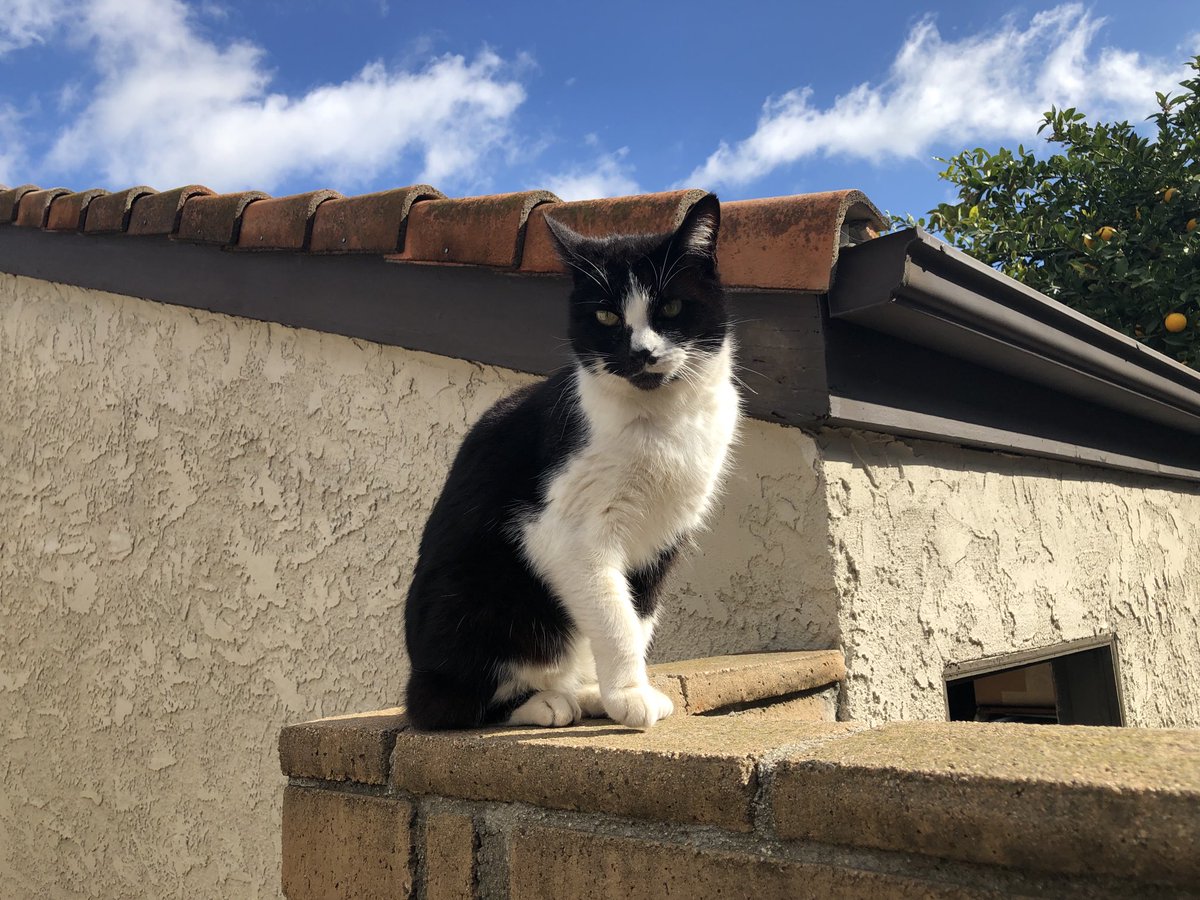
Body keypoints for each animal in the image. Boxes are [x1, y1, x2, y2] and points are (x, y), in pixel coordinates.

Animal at [408, 196, 734, 734]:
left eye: (670, 307)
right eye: (605, 315)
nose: (642, 352)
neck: (661, 421)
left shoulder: (664, 538)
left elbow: (637, 616)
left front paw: (621, 691)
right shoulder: (566, 532)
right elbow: (614, 617)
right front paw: (630, 694)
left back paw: (582, 692)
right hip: (475, 595)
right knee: (441, 705)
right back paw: (543, 702)